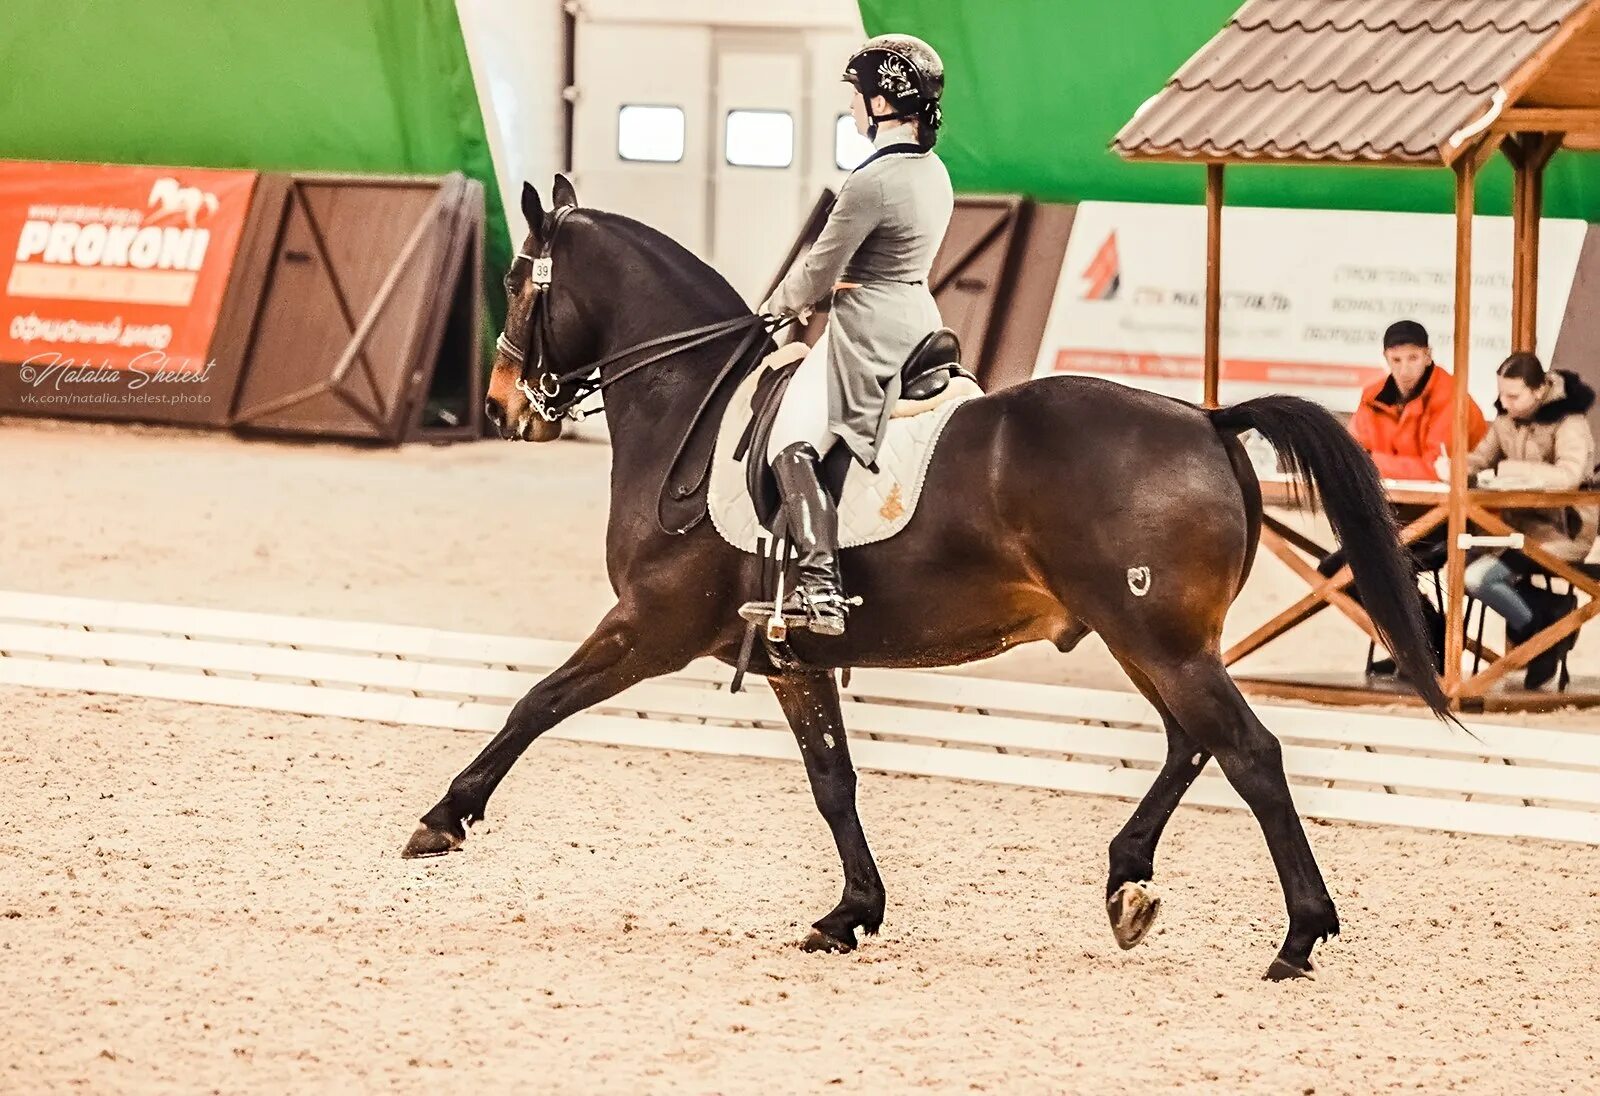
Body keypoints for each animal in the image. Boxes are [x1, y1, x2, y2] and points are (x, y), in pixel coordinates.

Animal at [403, 175, 1452, 979]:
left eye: (517, 280)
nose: (503, 404)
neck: (691, 410)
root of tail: (1206, 419)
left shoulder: (650, 624)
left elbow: (538, 701)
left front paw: (443, 820)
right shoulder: (790, 658)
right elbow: (833, 781)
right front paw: (850, 913)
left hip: (1160, 640)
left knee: (1248, 754)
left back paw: (1299, 937)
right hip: (1149, 641)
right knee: (1191, 745)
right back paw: (1128, 884)